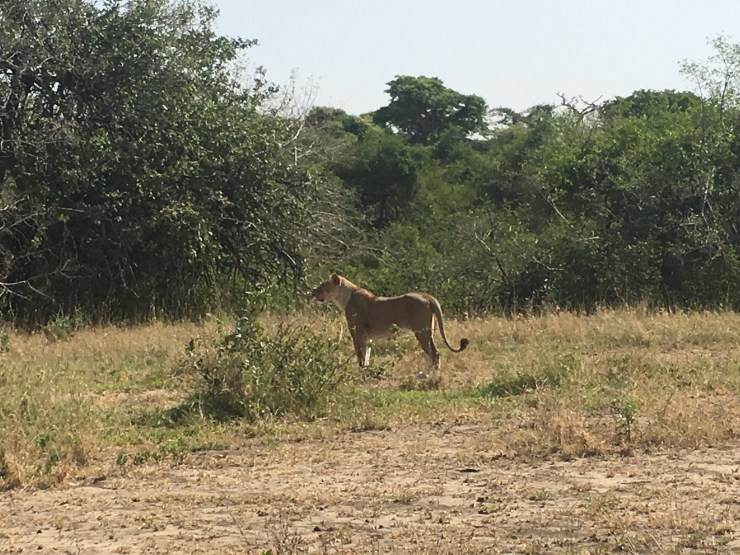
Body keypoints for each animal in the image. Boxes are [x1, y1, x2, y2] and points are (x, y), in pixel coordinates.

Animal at [311, 273, 469, 371]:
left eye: (322, 285)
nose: (312, 291)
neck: (344, 297)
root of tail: (427, 296)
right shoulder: (367, 336)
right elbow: (367, 354)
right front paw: (367, 371)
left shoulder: (358, 333)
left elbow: (360, 355)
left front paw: (360, 372)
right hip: (429, 331)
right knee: (434, 353)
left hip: (421, 332)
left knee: (434, 354)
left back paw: (427, 375)